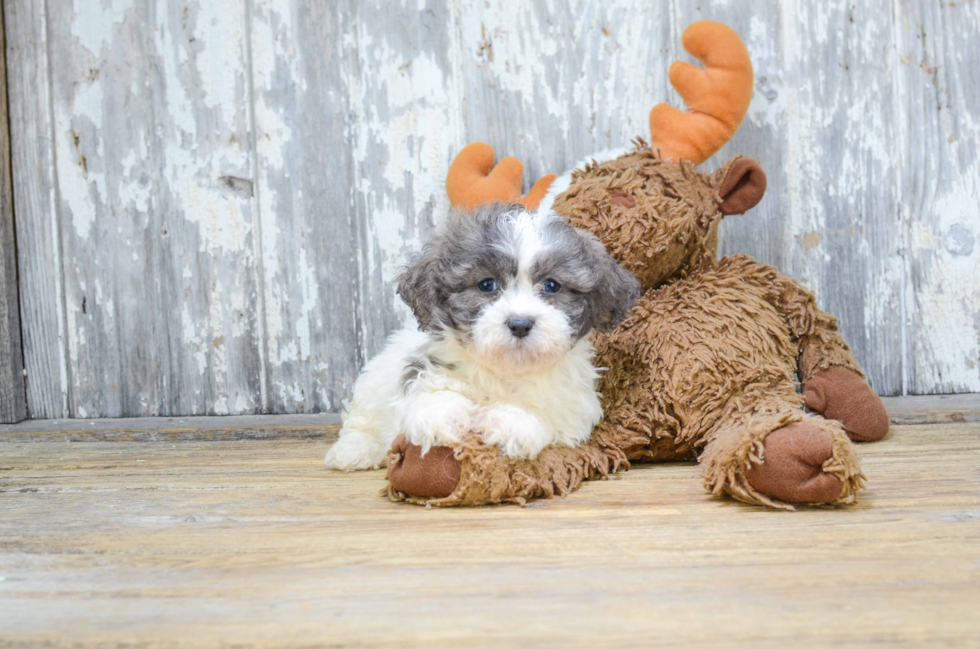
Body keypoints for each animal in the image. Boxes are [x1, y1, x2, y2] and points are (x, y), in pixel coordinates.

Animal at [324, 202, 644, 470]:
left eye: (552, 286)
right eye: (487, 284)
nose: (519, 323)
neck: (502, 372)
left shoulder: (573, 409)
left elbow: (541, 413)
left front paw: (513, 422)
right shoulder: (426, 368)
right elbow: (434, 391)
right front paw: (439, 415)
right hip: (372, 384)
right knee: (360, 421)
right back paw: (355, 450)